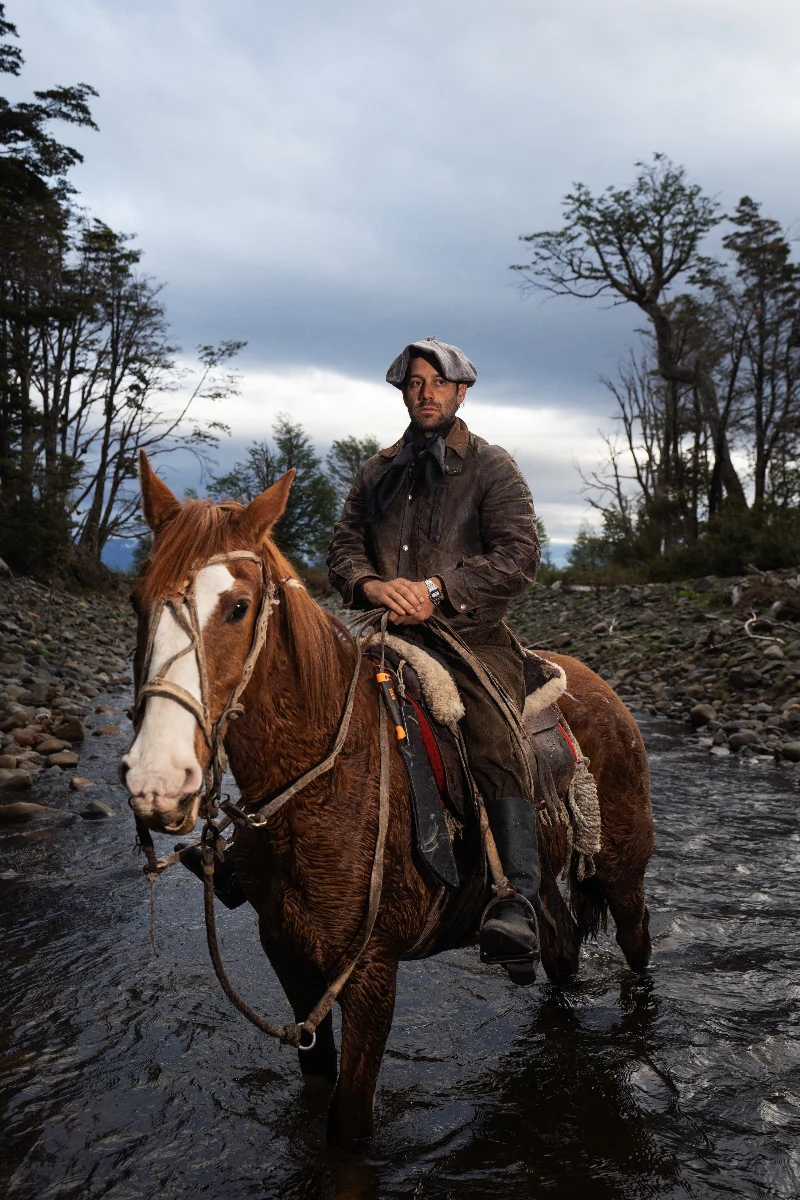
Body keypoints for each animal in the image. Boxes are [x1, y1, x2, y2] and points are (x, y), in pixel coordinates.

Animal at [122, 453, 652, 1147]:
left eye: (237, 607)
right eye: (137, 601)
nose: (156, 780)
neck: (325, 783)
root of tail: (600, 688)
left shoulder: (371, 973)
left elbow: (348, 1122)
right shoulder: (289, 959)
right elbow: (317, 1083)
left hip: (623, 869)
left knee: (637, 949)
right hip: (539, 885)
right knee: (560, 947)